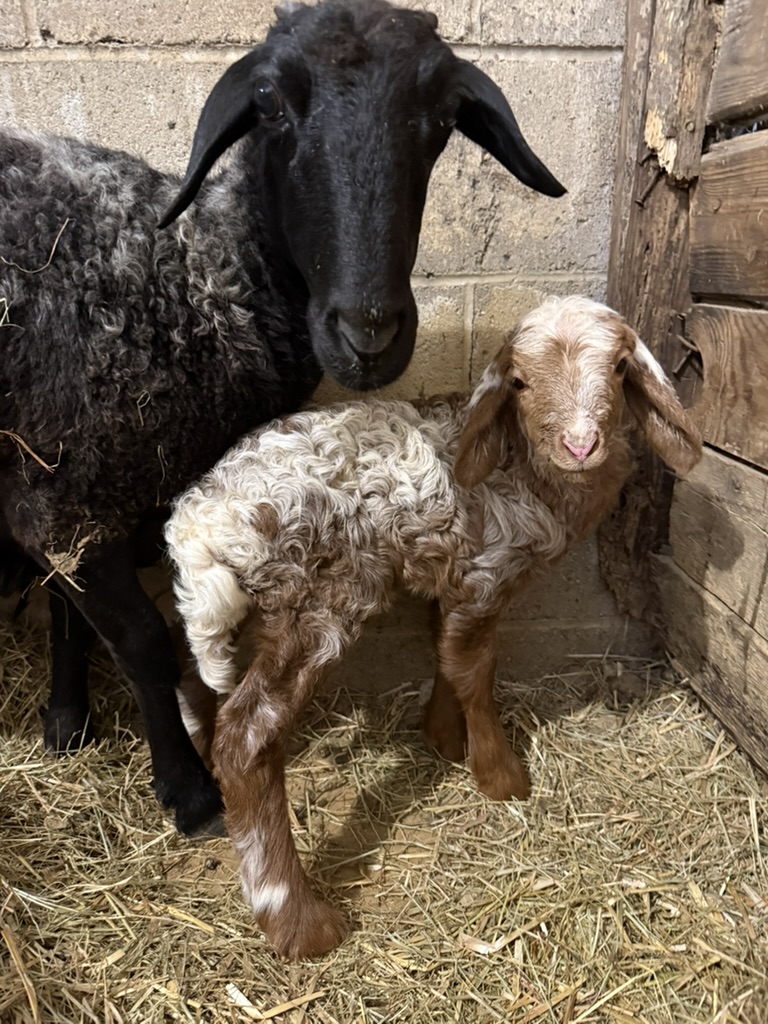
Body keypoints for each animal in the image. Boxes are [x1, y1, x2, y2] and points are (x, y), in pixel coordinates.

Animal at [0, 0, 565, 835]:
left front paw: (68, 725)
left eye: (442, 118)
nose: (368, 331)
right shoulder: (69, 499)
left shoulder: (70, 496)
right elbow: (141, 642)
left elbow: (72, 617)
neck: (187, 280)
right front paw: (189, 791)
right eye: (268, 104)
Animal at [165, 295, 702, 959]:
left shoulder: (449, 573)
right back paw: (299, 920)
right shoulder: (486, 575)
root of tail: (201, 528)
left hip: (242, 612)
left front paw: (444, 737)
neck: (524, 471)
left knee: (192, 683)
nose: (581, 445)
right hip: (318, 601)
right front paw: (500, 775)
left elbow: (445, 654)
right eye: (519, 382)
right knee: (246, 739)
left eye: (622, 367)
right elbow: (475, 668)